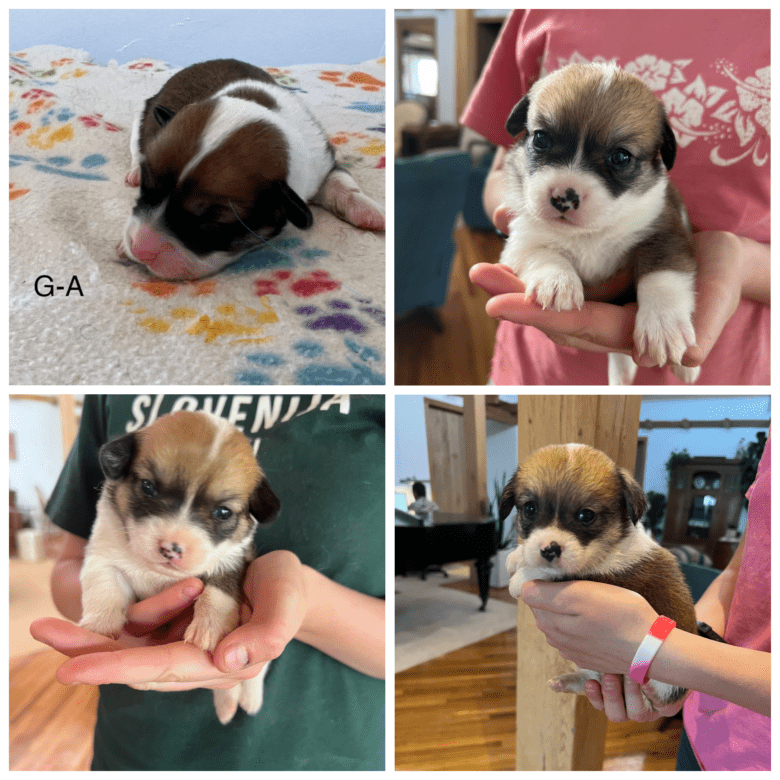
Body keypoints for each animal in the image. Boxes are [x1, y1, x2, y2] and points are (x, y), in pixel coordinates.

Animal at [78, 412, 280, 724]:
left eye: (223, 512)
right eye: (148, 487)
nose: (171, 548)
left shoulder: (235, 559)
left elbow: (219, 589)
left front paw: (211, 626)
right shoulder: (102, 554)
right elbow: (104, 583)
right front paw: (100, 624)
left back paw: (243, 698)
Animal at [118, 59, 384, 282]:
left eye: (213, 220)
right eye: (146, 187)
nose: (140, 249)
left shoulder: (321, 159)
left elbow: (341, 180)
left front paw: (369, 210)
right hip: (143, 116)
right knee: (136, 146)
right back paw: (133, 171)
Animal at [502, 62, 696, 386]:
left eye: (621, 156)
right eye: (541, 139)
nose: (564, 198)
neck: (590, 233)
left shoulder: (667, 231)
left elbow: (662, 276)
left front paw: (662, 325)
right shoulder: (522, 239)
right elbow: (543, 252)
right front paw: (557, 280)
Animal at [502, 444, 696, 708]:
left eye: (586, 515)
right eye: (530, 508)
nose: (549, 550)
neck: (608, 546)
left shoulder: (607, 576)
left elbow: (558, 573)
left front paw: (521, 577)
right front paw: (518, 555)